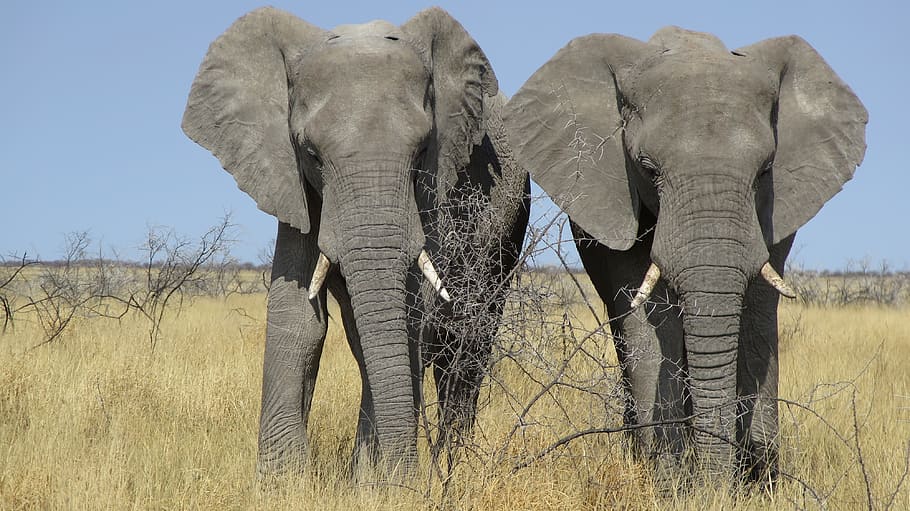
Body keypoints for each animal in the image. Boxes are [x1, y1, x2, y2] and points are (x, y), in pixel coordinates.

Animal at [182, 7, 529, 477]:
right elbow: (297, 313)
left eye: (423, 151)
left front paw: (377, 484)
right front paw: (284, 481)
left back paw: (448, 468)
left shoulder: (435, 191)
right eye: (311, 154)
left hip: (507, 224)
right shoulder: (293, 183)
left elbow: (411, 313)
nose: (407, 478)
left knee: (466, 341)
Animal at [503, 26, 866, 485]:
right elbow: (646, 312)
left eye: (765, 170)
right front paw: (669, 478)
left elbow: (757, 310)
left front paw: (754, 482)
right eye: (647, 168)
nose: (715, 487)